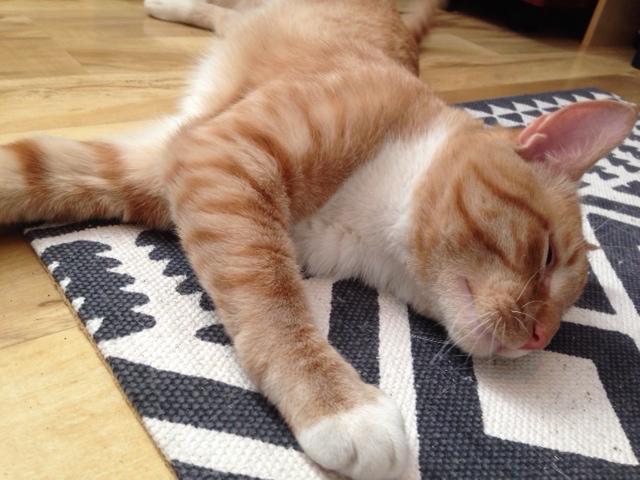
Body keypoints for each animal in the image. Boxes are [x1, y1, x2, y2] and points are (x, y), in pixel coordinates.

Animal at [1, 1, 640, 478]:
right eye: (548, 256)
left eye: (563, 314)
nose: (539, 338)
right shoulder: (226, 159)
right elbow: (274, 298)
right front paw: (338, 407)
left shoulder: (145, 167)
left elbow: (22, 167)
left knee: (226, 16)